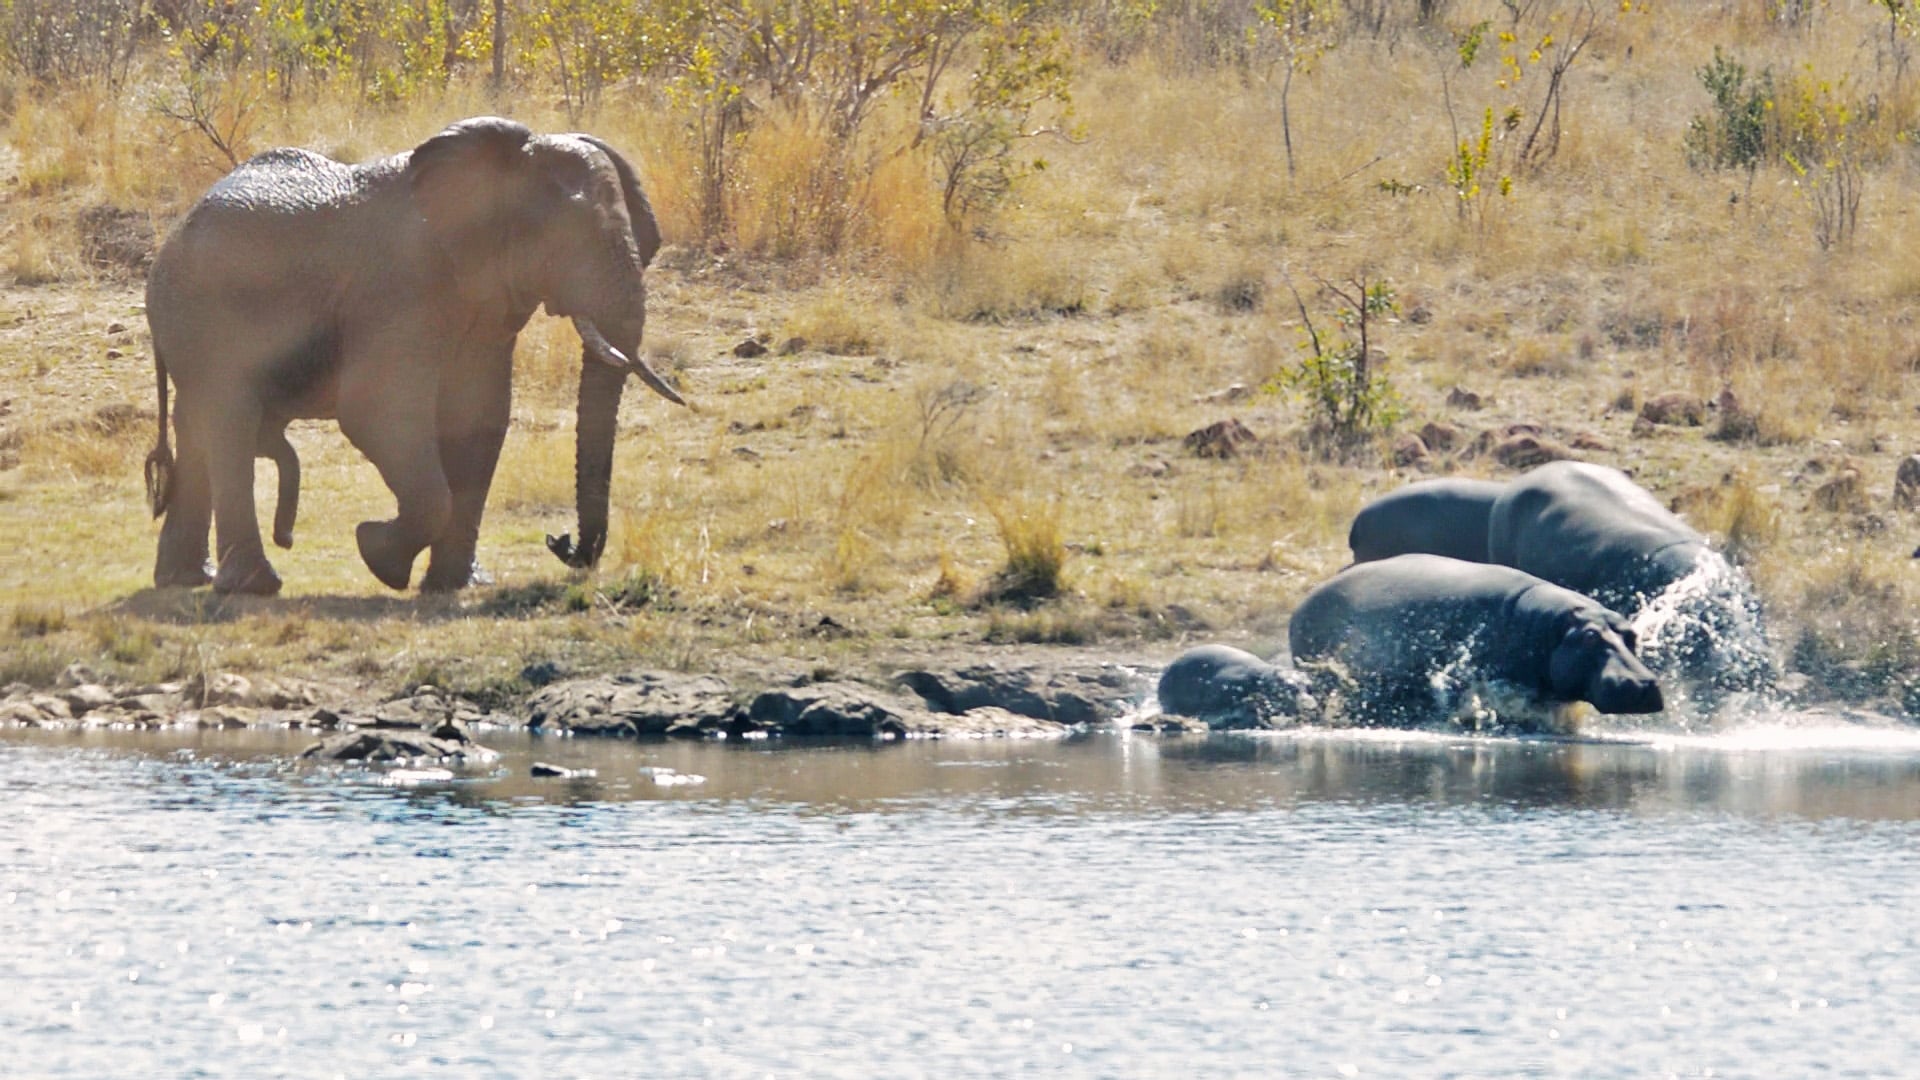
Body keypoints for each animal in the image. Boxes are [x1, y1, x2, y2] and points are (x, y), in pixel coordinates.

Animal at [142, 116, 685, 595]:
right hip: (203, 312)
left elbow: (479, 418)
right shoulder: (399, 284)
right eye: (568, 238)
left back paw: (188, 579)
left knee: (198, 425)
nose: (561, 543)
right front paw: (377, 553)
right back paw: (254, 586)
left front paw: (454, 584)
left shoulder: (486, 302)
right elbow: (377, 409)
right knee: (229, 420)